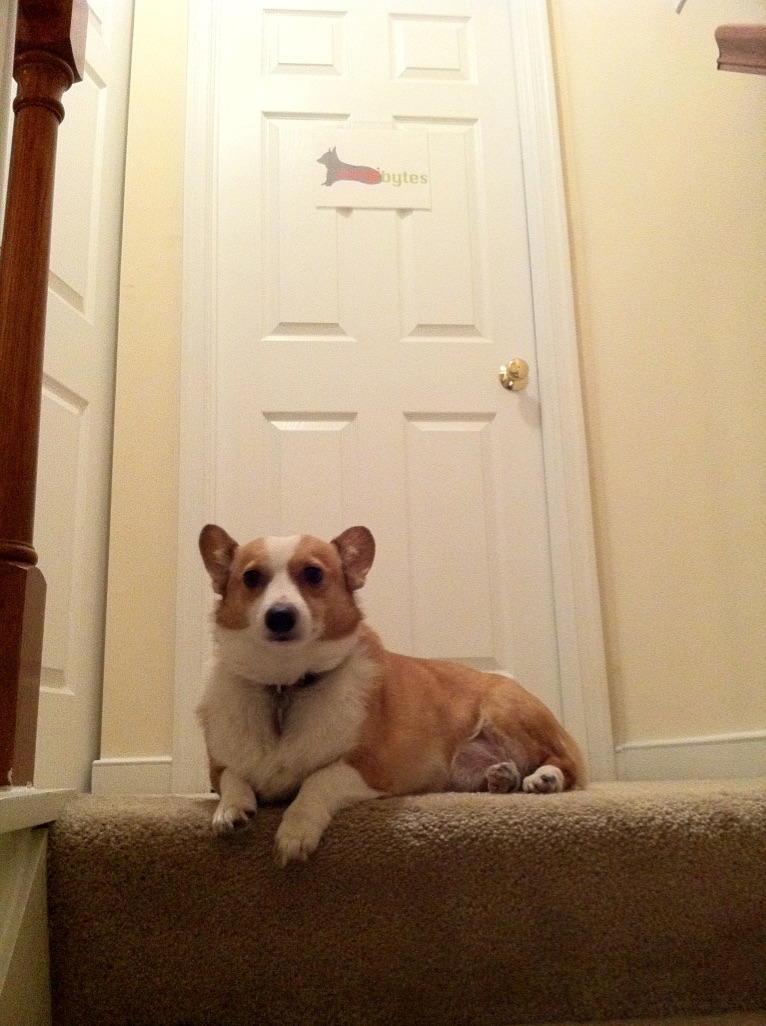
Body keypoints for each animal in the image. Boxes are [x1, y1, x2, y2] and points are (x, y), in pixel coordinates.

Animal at [197, 521, 586, 865]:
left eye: (314, 574)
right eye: (251, 578)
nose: (280, 616)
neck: (285, 685)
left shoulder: (371, 767)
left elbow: (317, 781)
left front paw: (295, 832)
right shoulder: (221, 768)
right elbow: (232, 779)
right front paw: (231, 810)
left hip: (506, 710)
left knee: (565, 762)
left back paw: (545, 778)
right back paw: (503, 777)